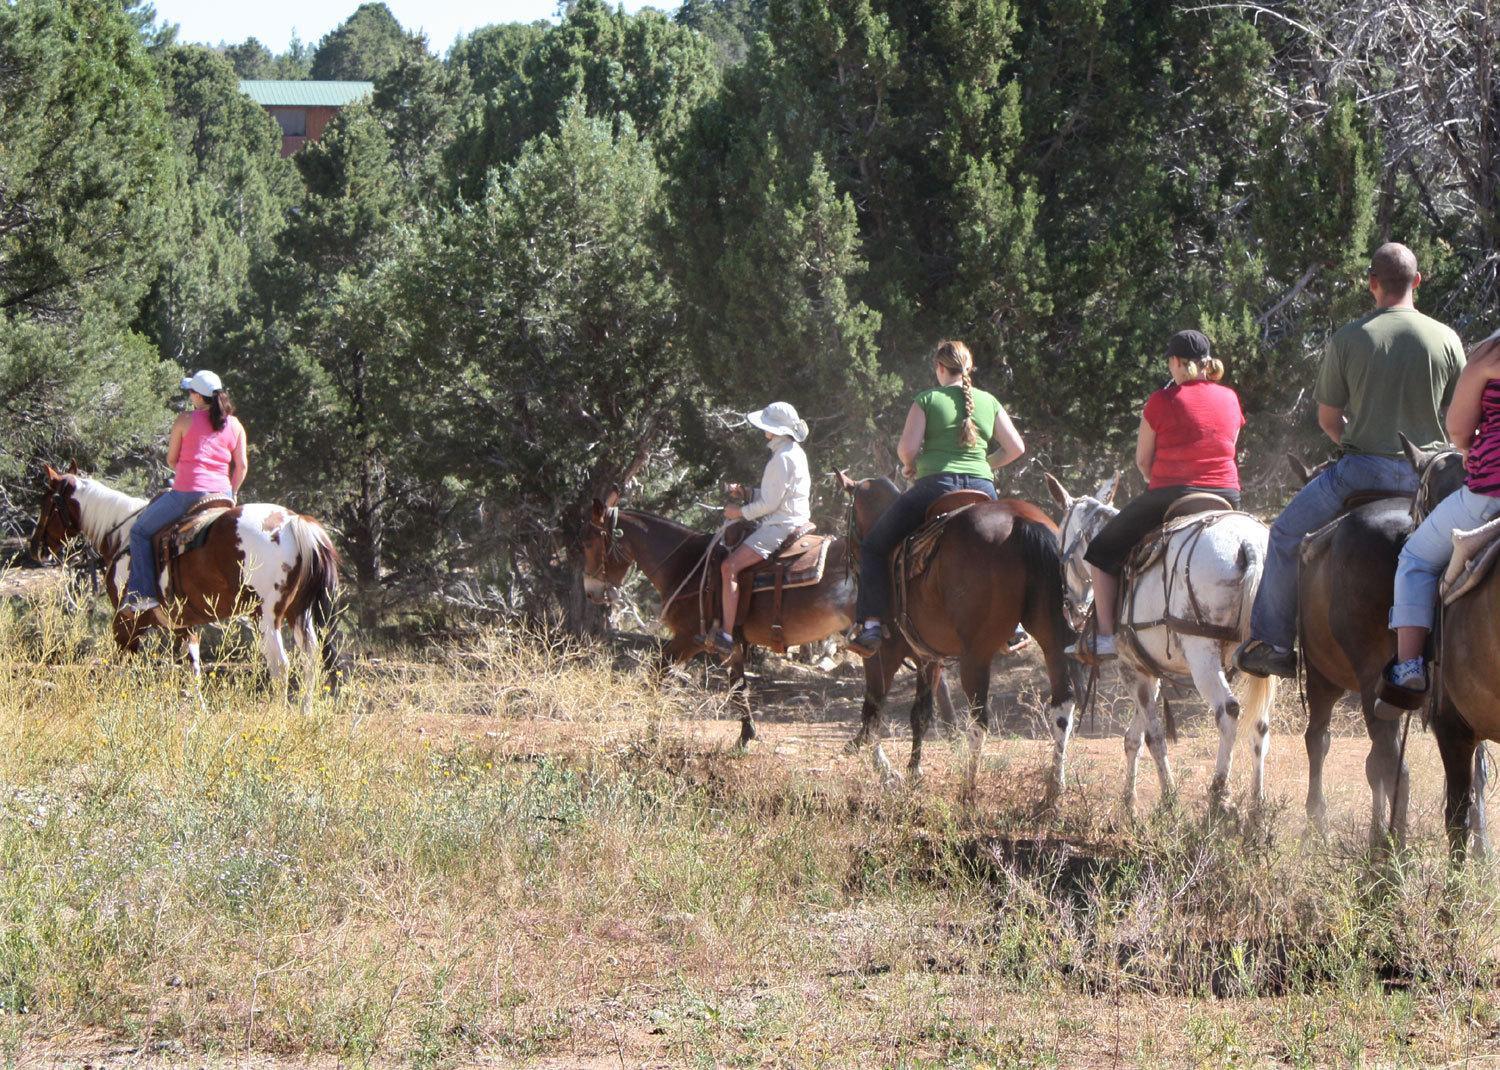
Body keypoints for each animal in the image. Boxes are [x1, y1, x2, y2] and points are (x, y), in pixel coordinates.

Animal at [30, 465, 342, 702]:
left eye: (47, 503)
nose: (36, 547)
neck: (121, 536)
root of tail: (294, 521)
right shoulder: (183, 624)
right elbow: (193, 669)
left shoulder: (126, 622)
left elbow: (123, 666)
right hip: (298, 612)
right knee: (310, 660)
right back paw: (305, 713)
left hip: (266, 615)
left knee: (280, 665)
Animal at [840, 471, 1074, 798]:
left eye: (846, 515)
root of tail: (1021, 521)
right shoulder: (929, 657)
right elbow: (920, 714)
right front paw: (913, 771)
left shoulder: (883, 654)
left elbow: (873, 711)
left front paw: (885, 770)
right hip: (1054, 639)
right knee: (1062, 706)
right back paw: (1054, 789)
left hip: (976, 655)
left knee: (979, 720)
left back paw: (969, 791)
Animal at [1044, 471, 1278, 816]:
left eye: (1060, 541)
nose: (1070, 607)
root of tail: (1248, 543)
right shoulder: (1147, 669)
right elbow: (1133, 737)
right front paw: (1129, 801)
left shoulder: (1131, 668)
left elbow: (1153, 737)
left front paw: (1169, 800)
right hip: (1262, 658)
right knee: (1260, 722)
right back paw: (1257, 807)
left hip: (1202, 654)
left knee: (1229, 711)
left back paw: (1219, 795)